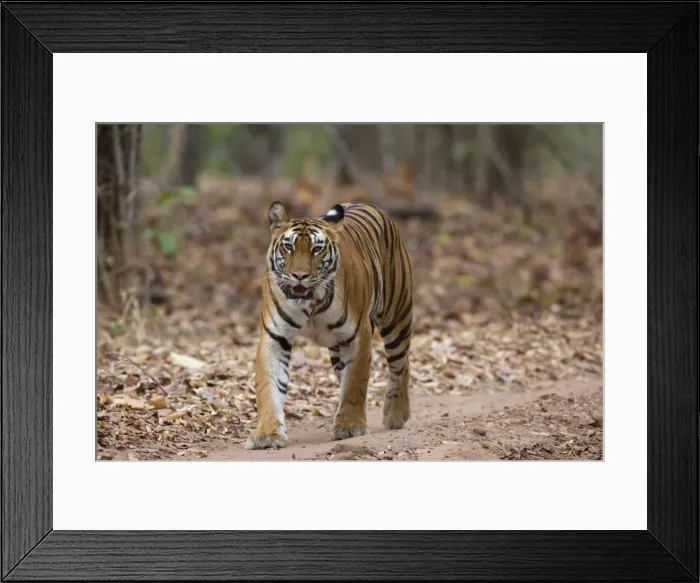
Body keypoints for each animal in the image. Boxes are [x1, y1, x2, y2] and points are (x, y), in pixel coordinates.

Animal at [245, 200, 413, 449]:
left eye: (316, 249)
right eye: (288, 246)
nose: (300, 275)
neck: (311, 303)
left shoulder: (359, 335)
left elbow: (355, 382)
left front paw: (350, 426)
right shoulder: (275, 337)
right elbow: (269, 387)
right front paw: (267, 435)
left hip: (396, 318)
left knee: (401, 365)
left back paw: (396, 415)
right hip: (336, 348)